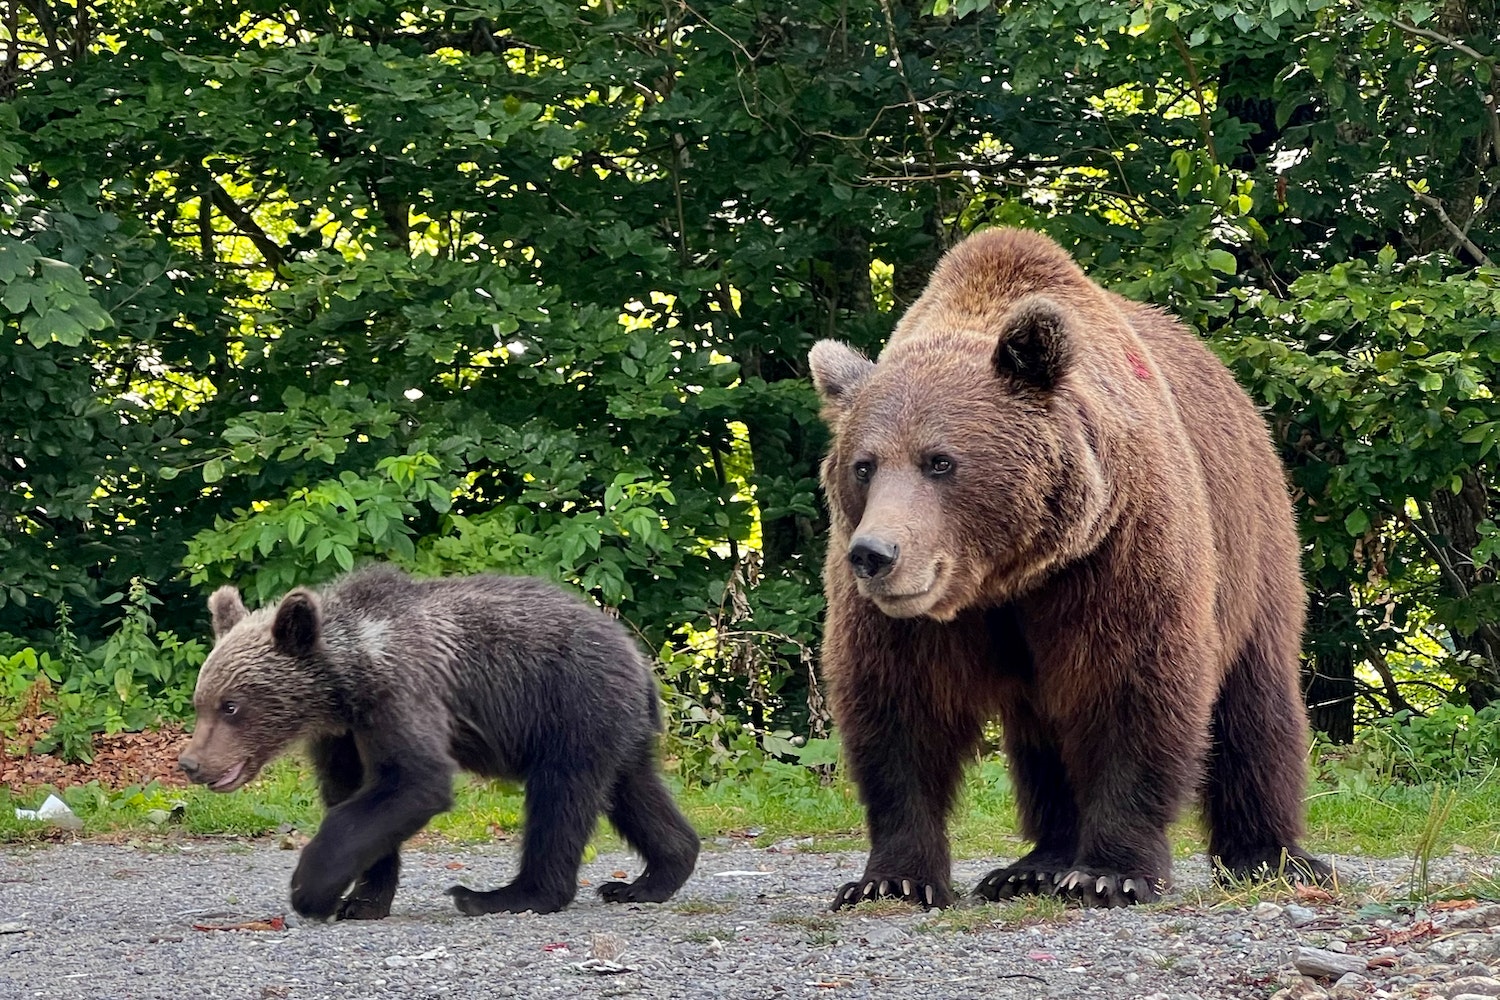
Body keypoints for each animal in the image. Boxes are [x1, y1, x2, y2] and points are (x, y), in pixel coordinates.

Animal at [177, 564, 700, 920]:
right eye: (201, 701)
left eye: (231, 706)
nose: (191, 763)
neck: (349, 682)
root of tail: (638, 658)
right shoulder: (342, 733)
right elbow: (355, 795)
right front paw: (362, 899)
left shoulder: (404, 691)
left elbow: (413, 781)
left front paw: (312, 889)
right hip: (615, 726)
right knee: (632, 789)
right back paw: (646, 880)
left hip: (571, 706)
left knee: (561, 798)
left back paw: (502, 895)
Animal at [807, 227, 1330, 910]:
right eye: (864, 465)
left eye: (940, 461)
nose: (875, 555)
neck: (1008, 574)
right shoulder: (909, 618)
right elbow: (899, 709)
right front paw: (891, 878)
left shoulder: (1117, 550)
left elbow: (1134, 685)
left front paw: (1112, 872)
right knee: (1044, 734)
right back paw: (1033, 865)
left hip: (1252, 545)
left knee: (1254, 706)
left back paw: (1270, 855)